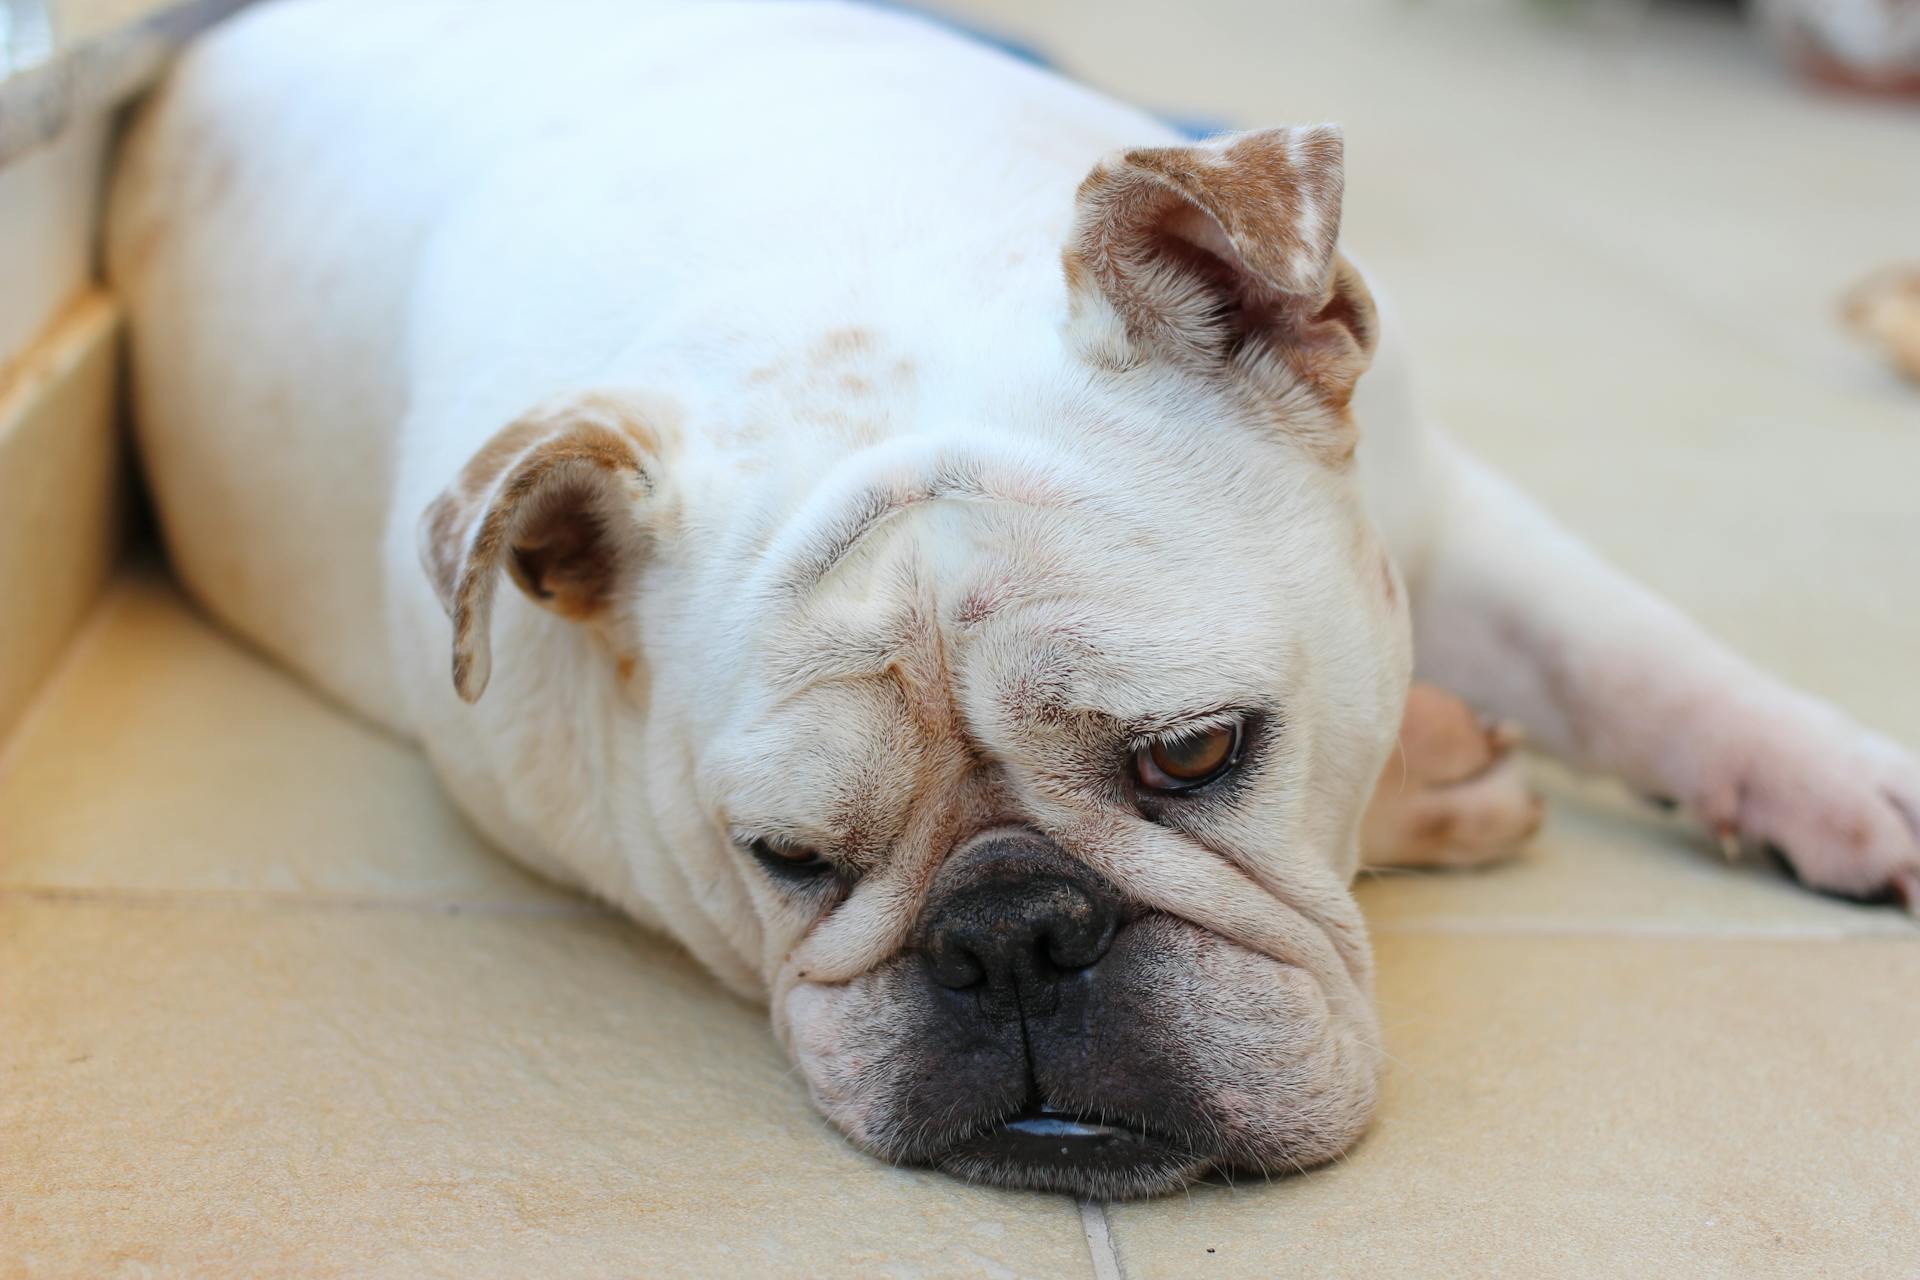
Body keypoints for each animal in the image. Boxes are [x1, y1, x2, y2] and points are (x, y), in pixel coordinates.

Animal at [108, 0, 1920, 1205]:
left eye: (1199, 755)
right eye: (787, 861)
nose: (1011, 937)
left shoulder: (1444, 499)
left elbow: (1634, 659)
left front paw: (1835, 781)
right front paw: (1436, 772)